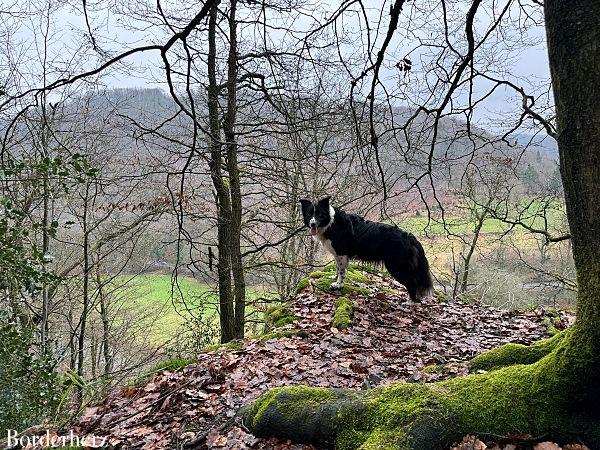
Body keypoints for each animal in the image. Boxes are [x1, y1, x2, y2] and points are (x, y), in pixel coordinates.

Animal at [298, 197, 432, 302]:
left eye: (319, 214)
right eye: (310, 214)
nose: (312, 224)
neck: (331, 222)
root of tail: (409, 236)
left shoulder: (341, 253)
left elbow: (341, 271)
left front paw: (338, 285)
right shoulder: (338, 255)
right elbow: (338, 268)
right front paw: (334, 278)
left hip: (396, 266)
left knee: (412, 283)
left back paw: (410, 302)